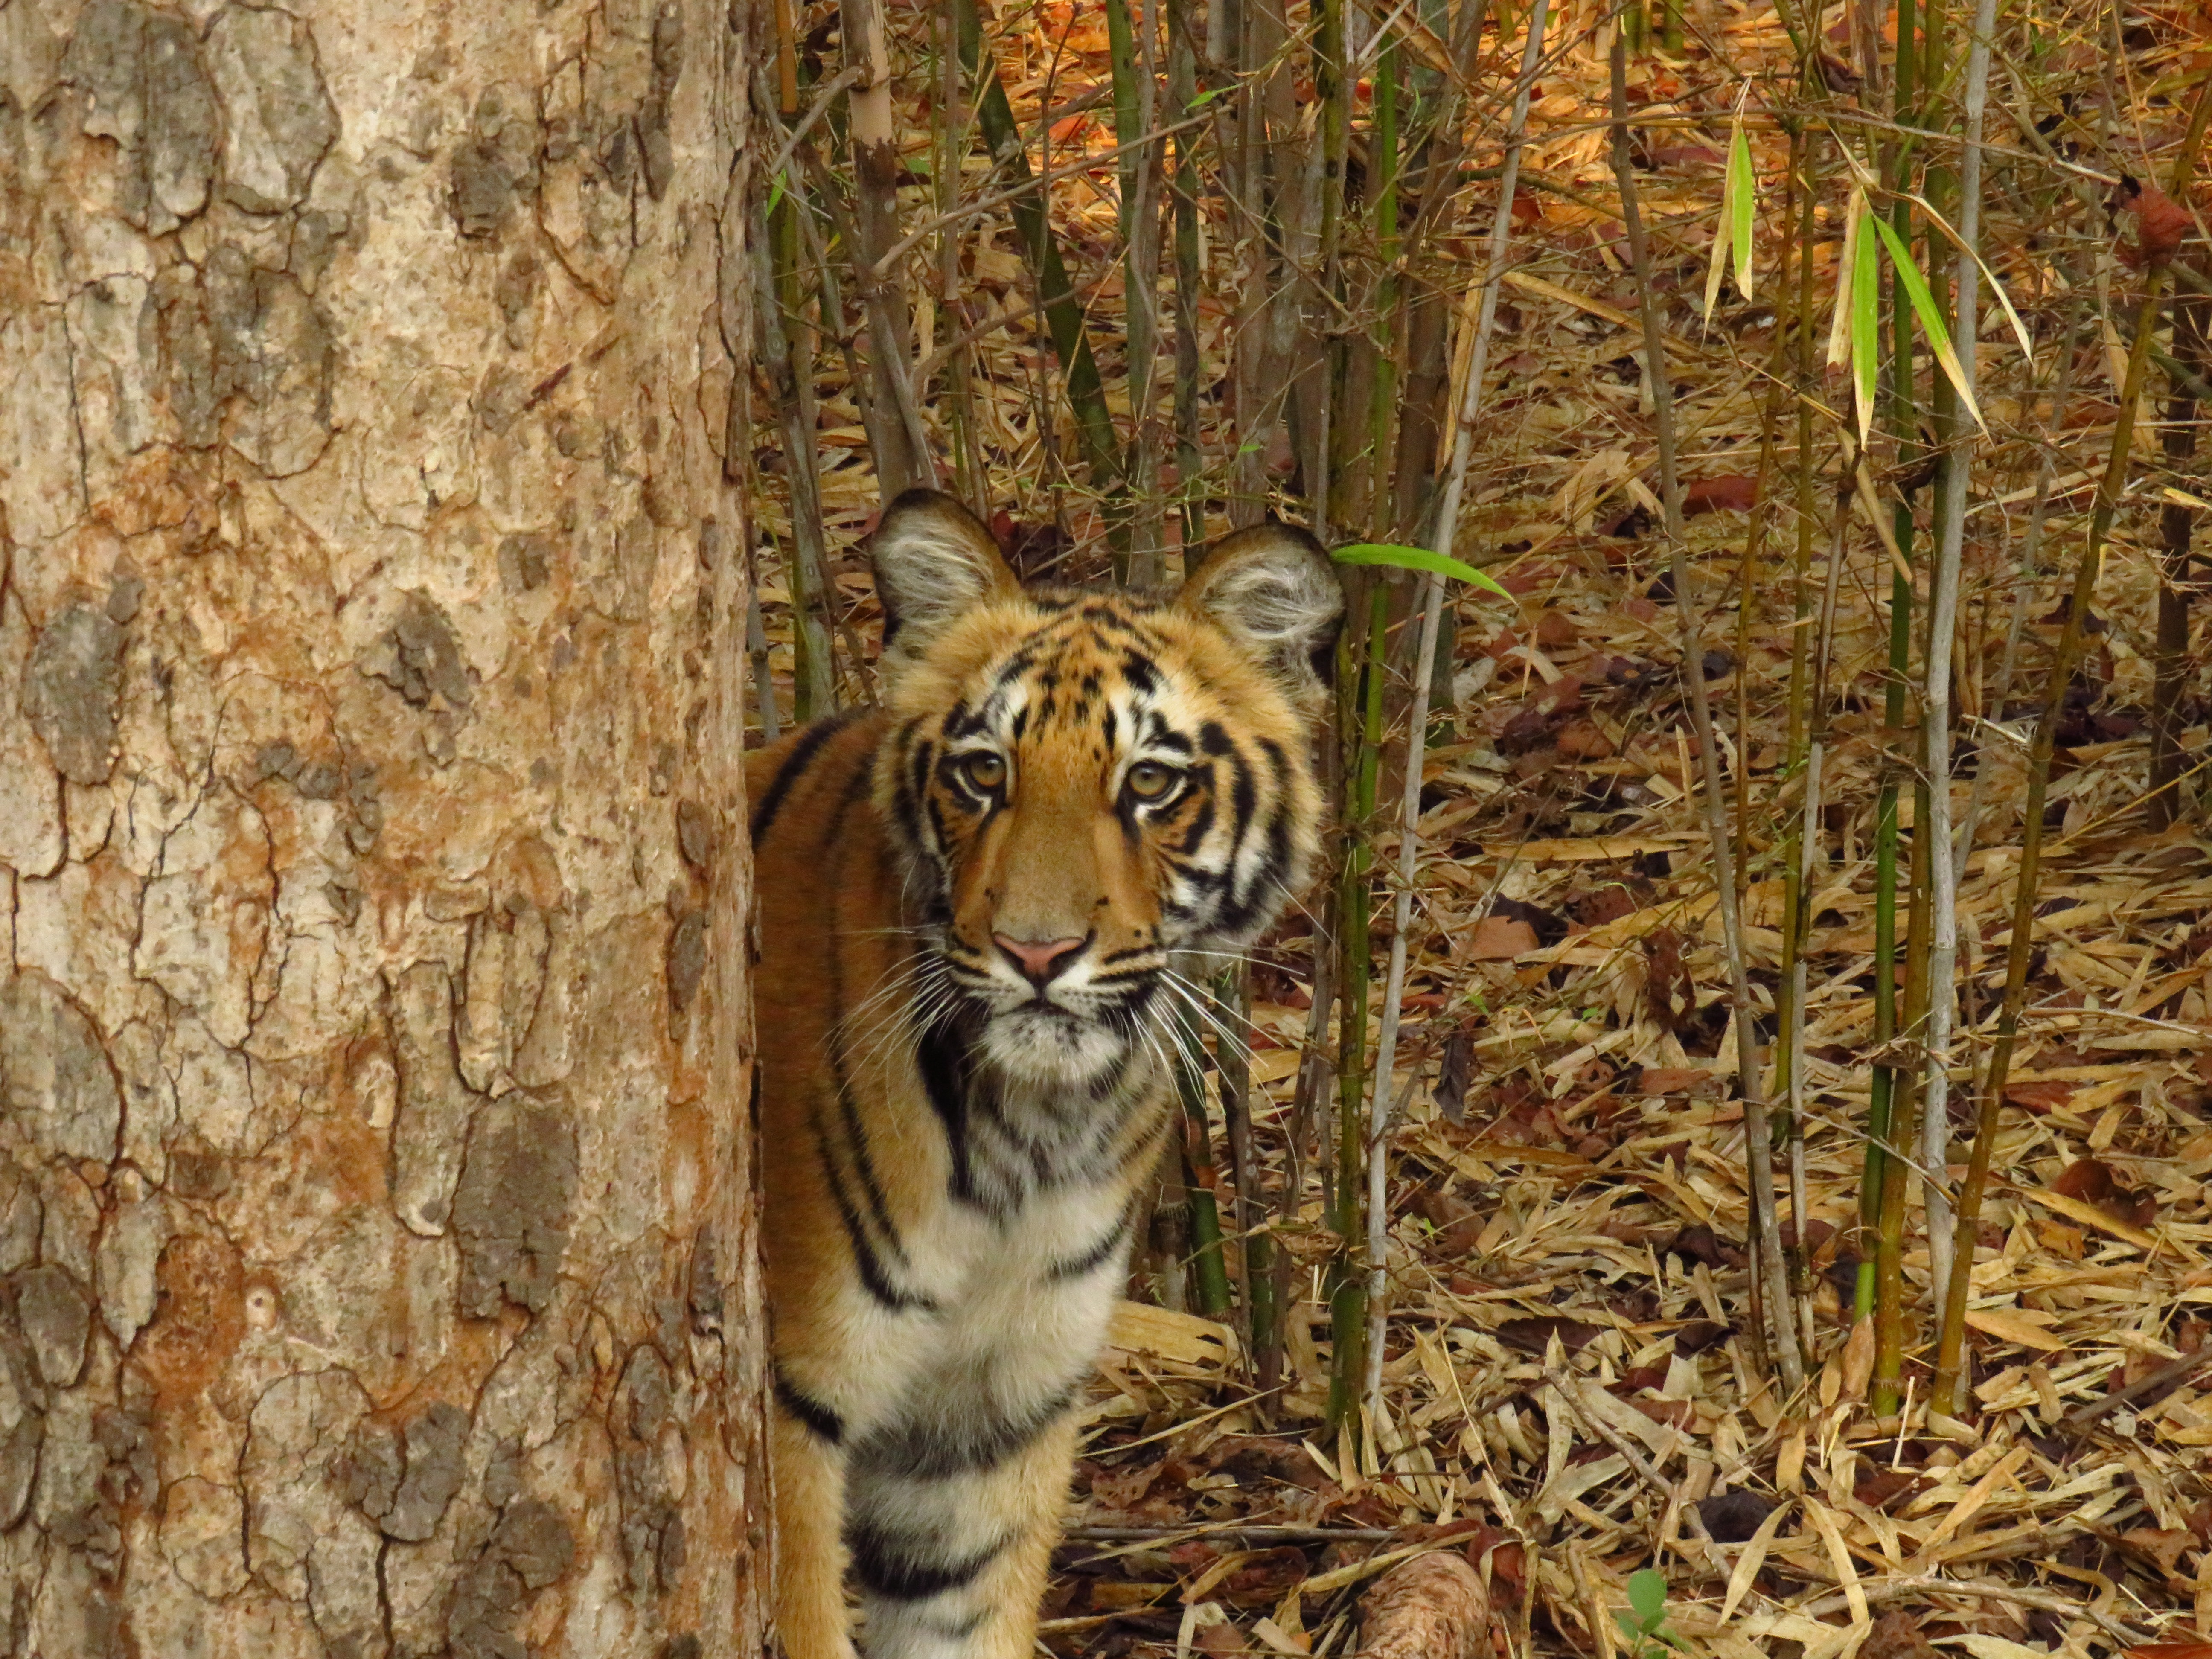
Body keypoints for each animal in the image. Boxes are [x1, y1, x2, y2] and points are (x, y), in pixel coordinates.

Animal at [743, 486, 1336, 1654]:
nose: (1036, 952)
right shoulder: (793, 1405)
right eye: (985, 772)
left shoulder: (987, 1422)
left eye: (1150, 782)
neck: (1033, 1133)